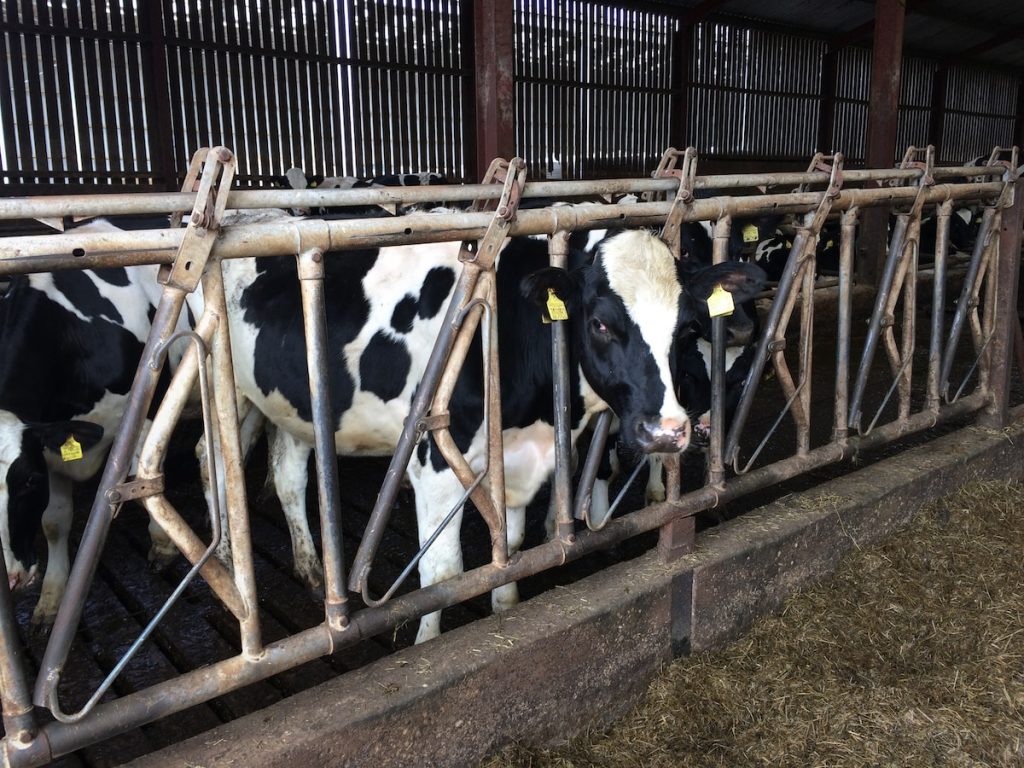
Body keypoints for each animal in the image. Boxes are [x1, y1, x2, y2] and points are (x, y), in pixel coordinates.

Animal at [0, 219, 182, 626]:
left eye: (29, 482)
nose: (11, 577)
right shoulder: (50, 445)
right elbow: (54, 521)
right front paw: (52, 598)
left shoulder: (148, 407)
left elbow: (148, 480)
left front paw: (163, 544)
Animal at [195, 217, 761, 643]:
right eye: (601, 323)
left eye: (686, 328)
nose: (667, 431)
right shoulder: (434, 461)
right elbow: (444, 573)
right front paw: (427, 647)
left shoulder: (515, 457)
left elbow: (506, 549)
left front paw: (504, 610)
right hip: (225, 389)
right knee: (211, 457)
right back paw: (225, 566)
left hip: (293, 404)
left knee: (289, 475)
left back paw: (313, 571)